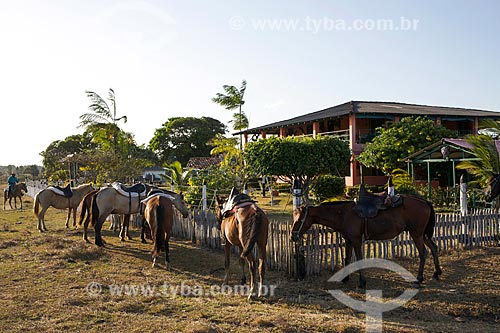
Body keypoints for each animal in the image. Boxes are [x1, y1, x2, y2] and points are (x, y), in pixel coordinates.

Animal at [290, 195, 442, 286]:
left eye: (300, 219)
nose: (293, 236)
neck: (344, 214)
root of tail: (425, 202)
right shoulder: (348, 240)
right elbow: (347, 258)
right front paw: (345, 278)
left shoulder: (356, 241)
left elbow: (358, 259)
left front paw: (362, 282)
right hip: (423, 235)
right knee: (434, 248)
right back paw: (436, 273)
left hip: (416, 234)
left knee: (423, 253)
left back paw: (419, 279)